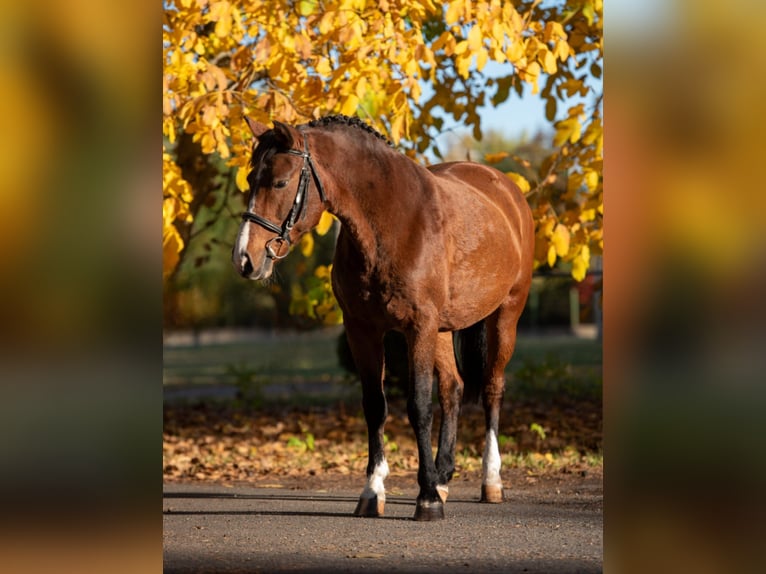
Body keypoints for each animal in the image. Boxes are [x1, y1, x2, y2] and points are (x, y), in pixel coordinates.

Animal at [233, 115, 534, 521]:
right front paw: (374, 491)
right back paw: (443, 477)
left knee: (491, 389)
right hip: (443, 329)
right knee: (453, 388)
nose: (245, 259)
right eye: (251, 179)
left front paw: (426, 499)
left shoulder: (418, 328)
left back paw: (489, 481)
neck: (391, 223)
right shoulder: (363, 330)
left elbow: (418, 406)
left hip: (505, 315)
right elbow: (375, 406)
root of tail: (506, 189)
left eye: (280, 181)